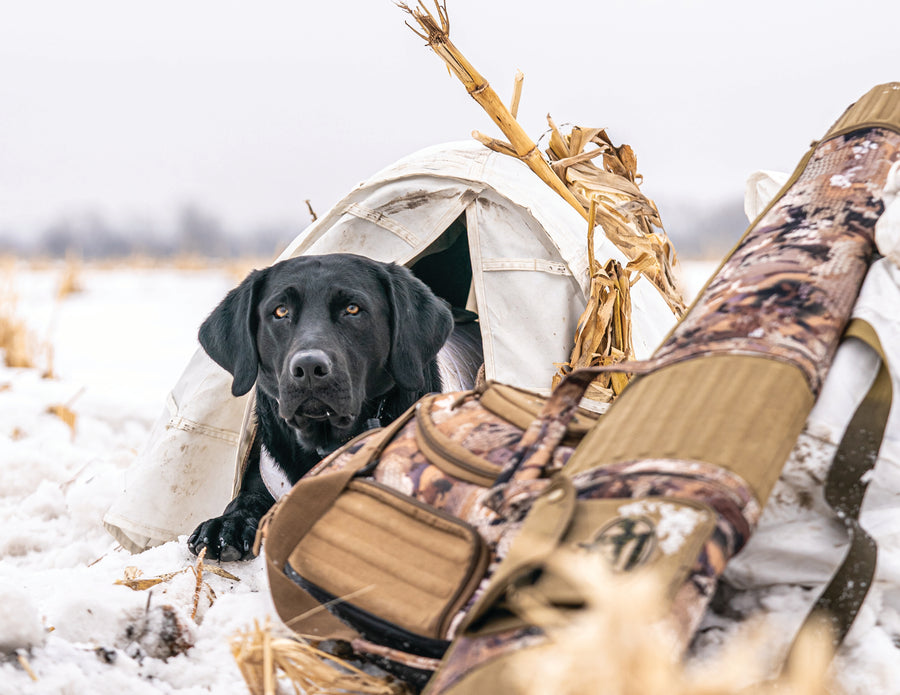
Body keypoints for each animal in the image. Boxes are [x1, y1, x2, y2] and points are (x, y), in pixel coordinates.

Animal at [191, 253, 458, 564]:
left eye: (353, 309)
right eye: (280, 311)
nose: (308, 367)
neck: (323, 442)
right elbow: (247, 498)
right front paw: (226, 526)